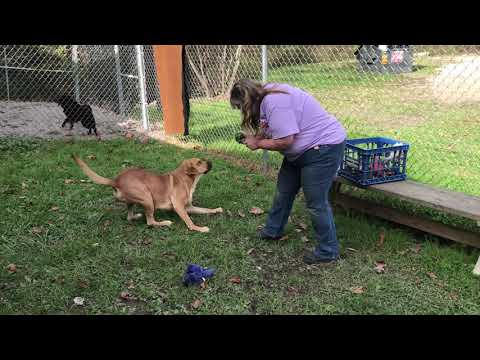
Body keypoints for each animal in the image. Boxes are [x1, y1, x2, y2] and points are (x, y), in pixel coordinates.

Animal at [72, 155, 222, 233]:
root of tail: (116, 180)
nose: (211, 161)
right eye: (199, 162)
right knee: (150, 222)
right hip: (148, 198)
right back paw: (164, 223)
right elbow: (189, 222)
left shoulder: (189, 207)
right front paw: (199, 228)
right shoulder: (179, 207)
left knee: (129, 216)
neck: (187, 178)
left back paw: (137, 215)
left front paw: (216, 210)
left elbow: (205, 209)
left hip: (135, 200)